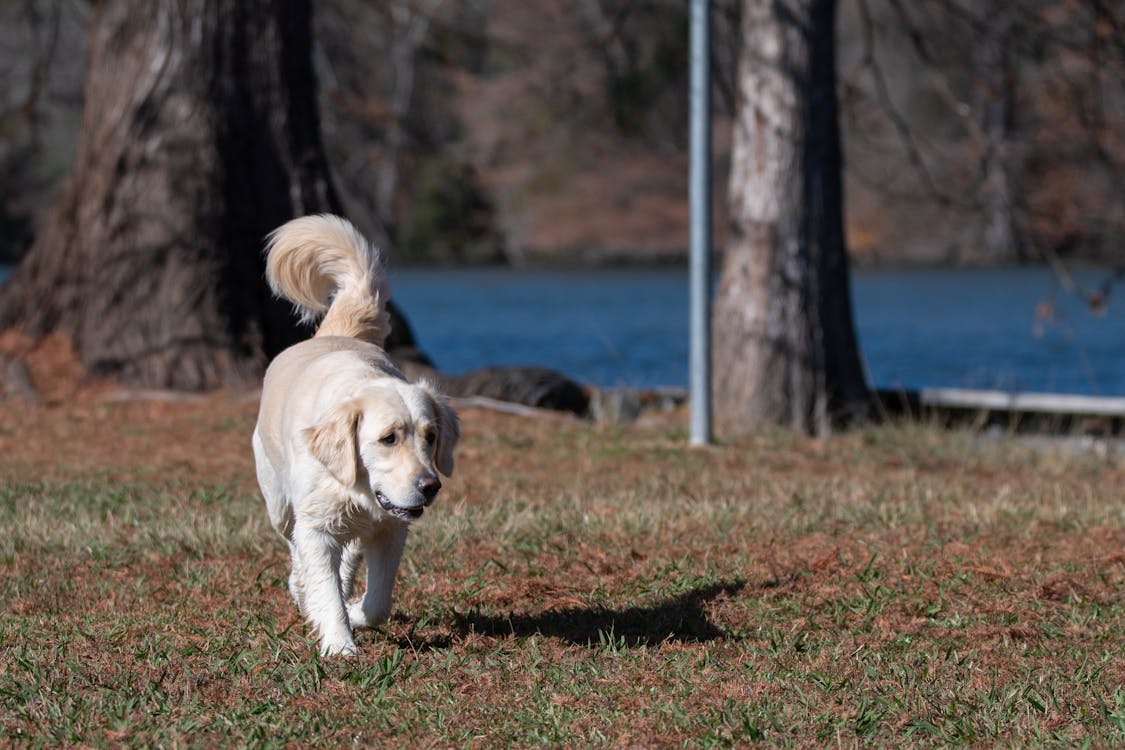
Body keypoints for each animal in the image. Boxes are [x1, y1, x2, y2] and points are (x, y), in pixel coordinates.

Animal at [253, 212, 459, 656]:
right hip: (278, 502)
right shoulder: (315, 526)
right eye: (388, 438)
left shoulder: (391, 529)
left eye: (430, 437)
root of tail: (337, 333)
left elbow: (378, 601)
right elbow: (322, 583)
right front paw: (339, 644)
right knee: (294, 546)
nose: (430, 486)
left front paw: (355, 615)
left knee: (346, 560)